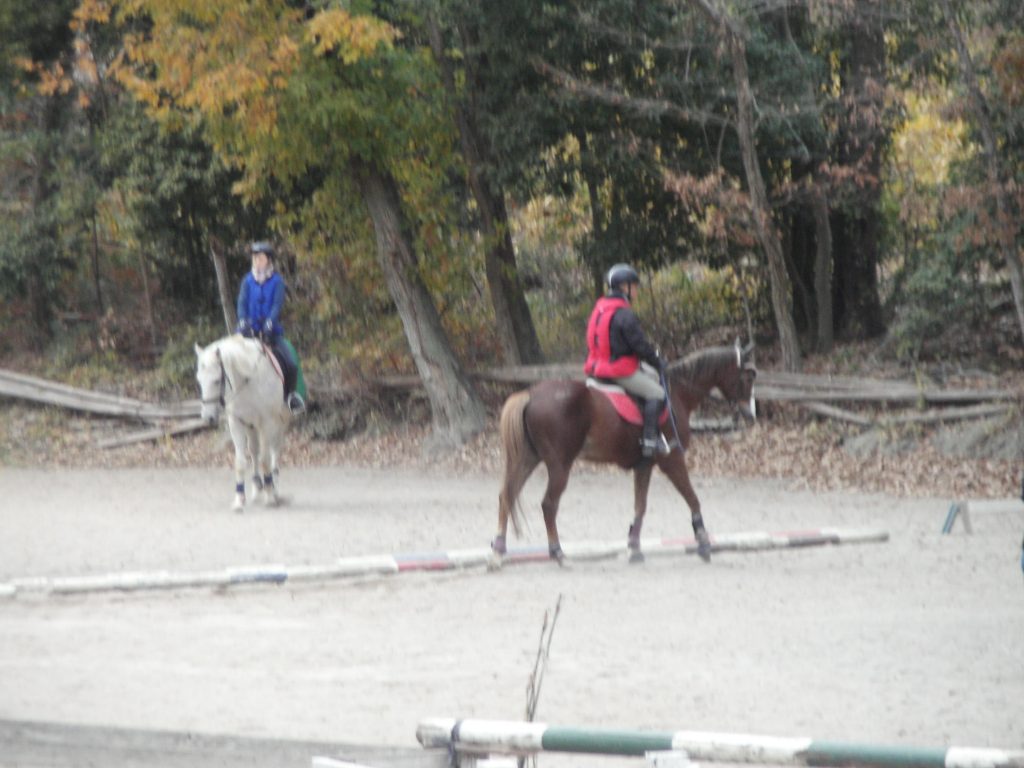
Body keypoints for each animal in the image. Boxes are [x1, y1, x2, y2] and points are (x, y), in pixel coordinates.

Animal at [195, 334, 290, 512]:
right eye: (199, 381)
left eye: (217, 380)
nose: (208, 417)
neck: (246, 381)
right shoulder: (236, 422)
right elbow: (240, 462)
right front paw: (239, 499)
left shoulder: (266, 422)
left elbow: (265, 460)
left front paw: (269, 496)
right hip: (251, 427)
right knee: (254, 451)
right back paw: (257, 487)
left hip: (279, 423)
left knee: (274, 452)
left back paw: (274, 488)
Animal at [492, 340, 757, 565]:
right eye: (747, 377)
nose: (751, 415)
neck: (677, 394)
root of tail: (530, 394)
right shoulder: (671, 459)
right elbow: (692, 498)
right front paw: (703, 543)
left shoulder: (645, 464)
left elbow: (640, 507)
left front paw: (634, 548)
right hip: (560, 465)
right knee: (548, 504)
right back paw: (557, 553)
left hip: (529, 458)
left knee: (507, 495)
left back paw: (498, 551)